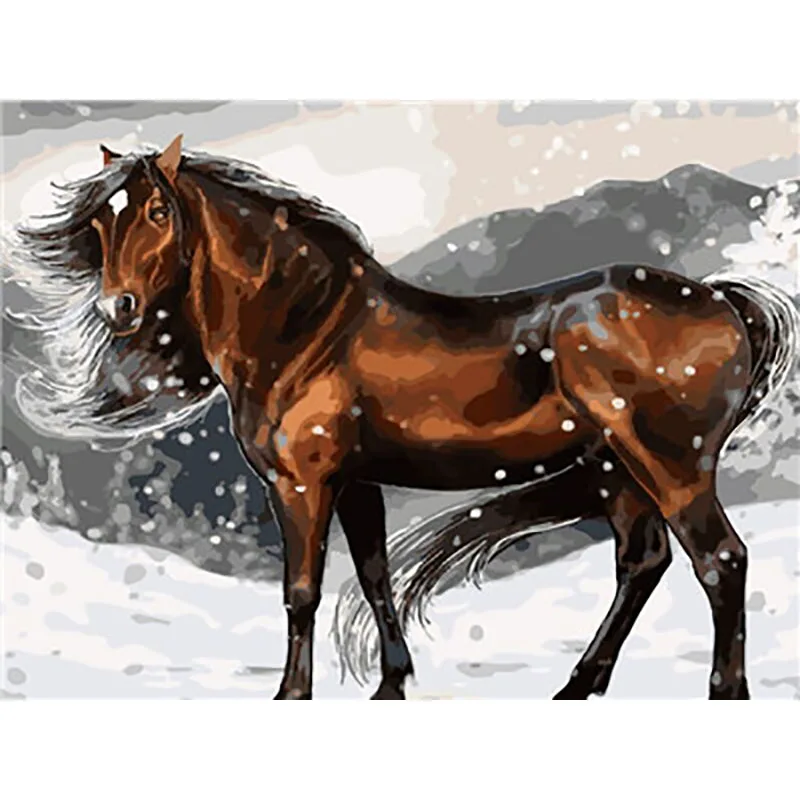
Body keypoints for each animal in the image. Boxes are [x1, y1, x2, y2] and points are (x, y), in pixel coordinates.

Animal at [9, 135, 798, 700]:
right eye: (99, 224)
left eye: (158, 212)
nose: (119, 308)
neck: (307, 327)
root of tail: (722, 299)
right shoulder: (358, 482)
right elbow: (374, 575)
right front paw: (392, 682)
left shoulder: (301, 485)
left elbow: (302, 591)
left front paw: (292, 694)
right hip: (617, 470)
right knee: (643, 562)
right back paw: (577, 685)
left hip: (671, 466)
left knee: (720, 562)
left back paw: (723, 690)